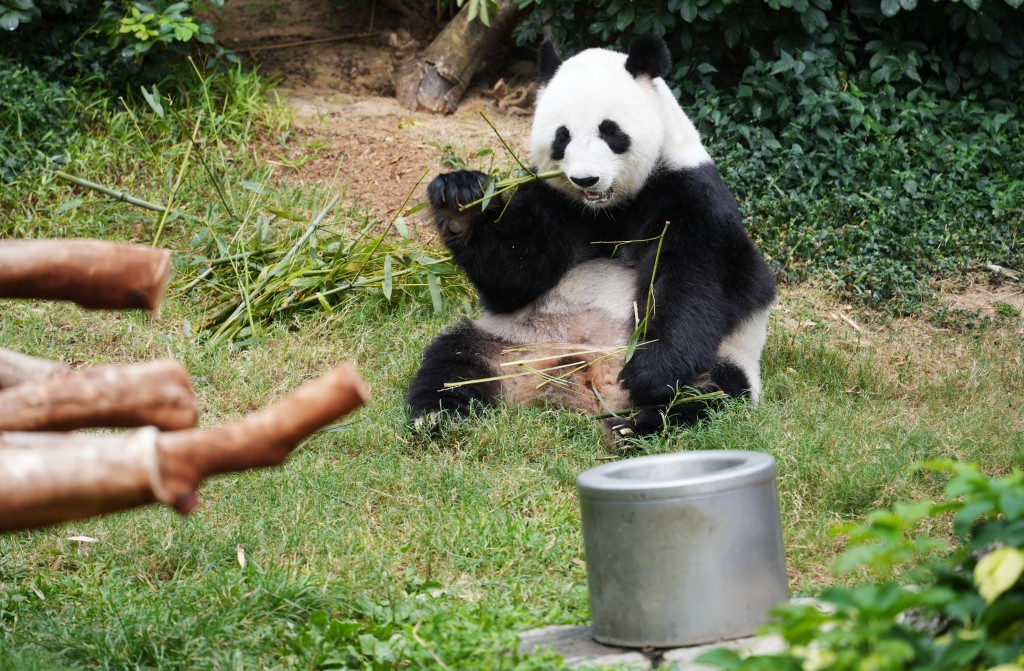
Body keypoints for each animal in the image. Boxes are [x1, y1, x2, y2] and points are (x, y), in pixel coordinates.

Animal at [403, 35, 770, 446]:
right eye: (562, 136)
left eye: (610, 131)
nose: (585, 179)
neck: (609, 207)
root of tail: (583, 383)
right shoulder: (553, 199)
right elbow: (514, 274)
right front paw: (461, 200)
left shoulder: (691, 193)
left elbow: (695, 283)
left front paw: (650, 373)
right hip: (510, 343)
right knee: (454, 363)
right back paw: (437, 417)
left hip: (726, 361)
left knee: (708, 398)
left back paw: (636, 425)